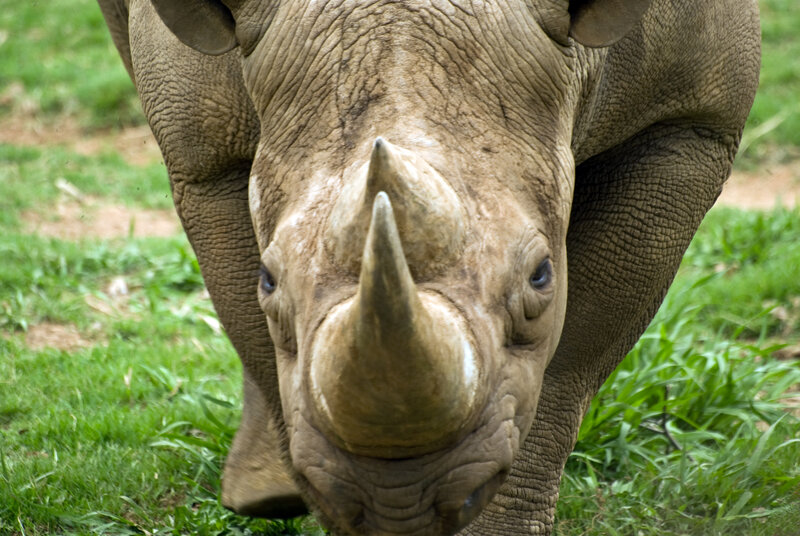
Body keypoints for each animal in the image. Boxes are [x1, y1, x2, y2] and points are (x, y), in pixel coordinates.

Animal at [98, 0, 760, 534]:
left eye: (541, 275)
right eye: (268, 280)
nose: (400, 500)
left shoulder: (692, 122)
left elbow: (571, 361)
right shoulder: (203, 159)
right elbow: (257, 334)